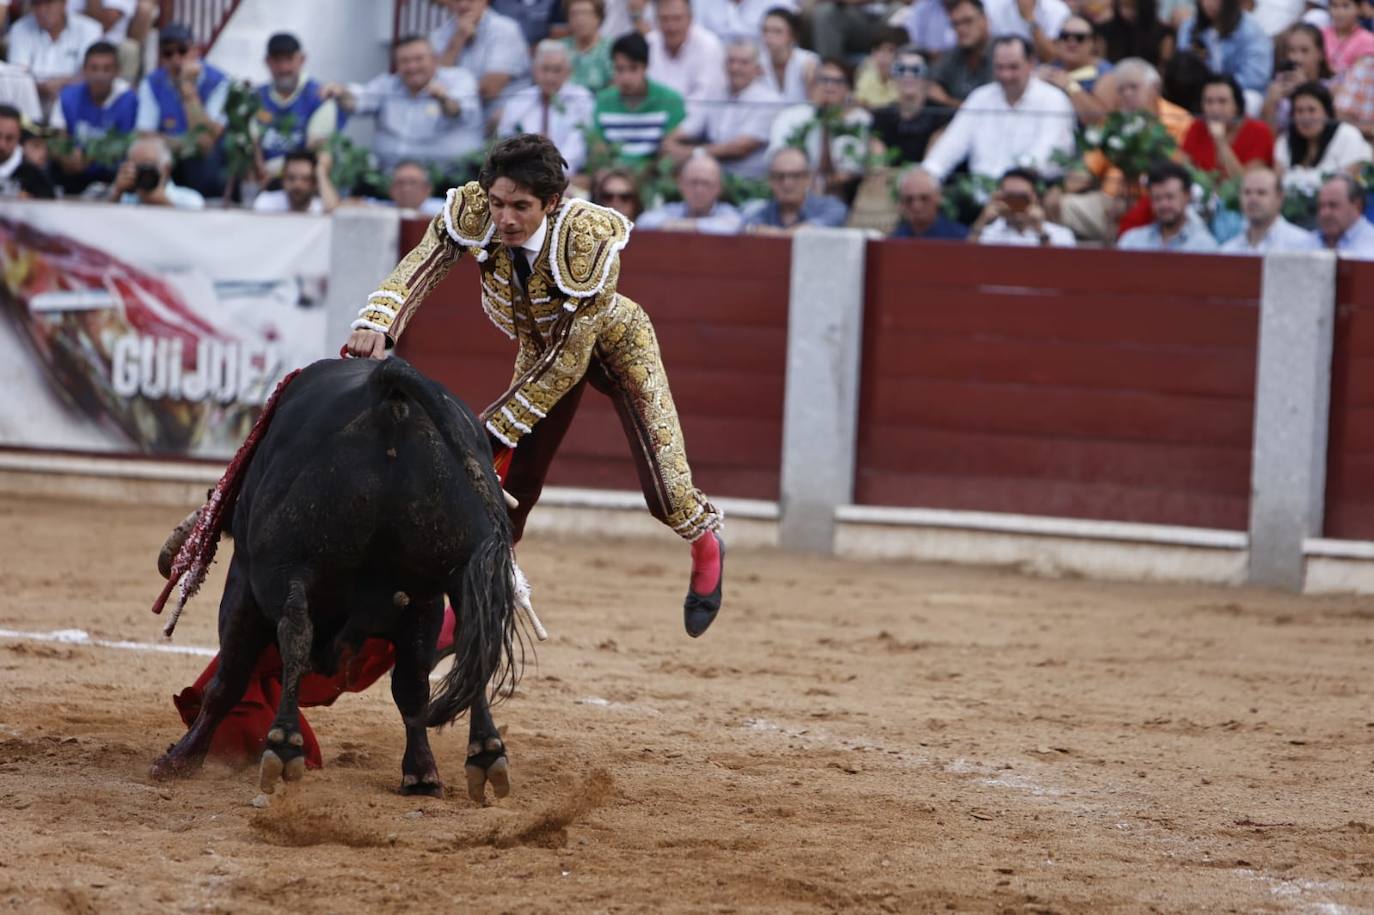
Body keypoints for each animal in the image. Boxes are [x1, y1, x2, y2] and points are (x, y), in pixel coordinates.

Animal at [147, 357, 516, 796]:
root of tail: (386, 389)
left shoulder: (243, 582)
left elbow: (230, 677)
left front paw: (183, 758)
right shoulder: (423, 601)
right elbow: (412, 686)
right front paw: (422, 773)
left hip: (286, 564)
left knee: (293, 631)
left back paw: (282, 745)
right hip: (458, 573)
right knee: (475, 642)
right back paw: (484, 751)